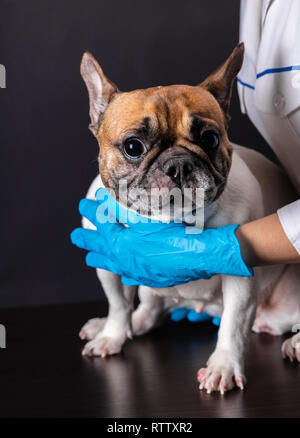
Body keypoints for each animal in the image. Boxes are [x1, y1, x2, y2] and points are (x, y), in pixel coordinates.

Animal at [76, 43, 300, 394]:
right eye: (133, 146)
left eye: (210, 139)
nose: (179, 164)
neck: (168, 225)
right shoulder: (109, 262)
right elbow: (118, 304)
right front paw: (112, 335)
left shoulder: (239, 275)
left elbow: (233, 324)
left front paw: (223, 366)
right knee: (148, 310)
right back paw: (120, 325)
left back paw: (297, 344)